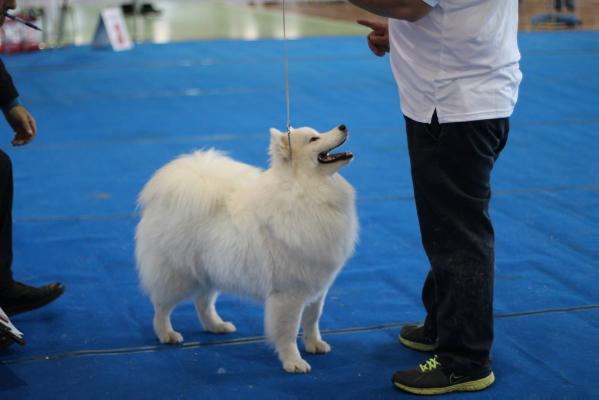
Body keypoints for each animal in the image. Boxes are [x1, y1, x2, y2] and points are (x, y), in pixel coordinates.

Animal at [135, 124, 358, 372]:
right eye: (313, 139)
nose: (343, 126)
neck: (306, 190)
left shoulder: (317, 287)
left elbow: (312, 319)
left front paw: (314, 345)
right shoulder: (288, 293)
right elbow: (288, 331)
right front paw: (293, 362)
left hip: (210, 272)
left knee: (203, 303)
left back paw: (217, 326)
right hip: (178, 276)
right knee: (162, 307)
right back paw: (167, 334)